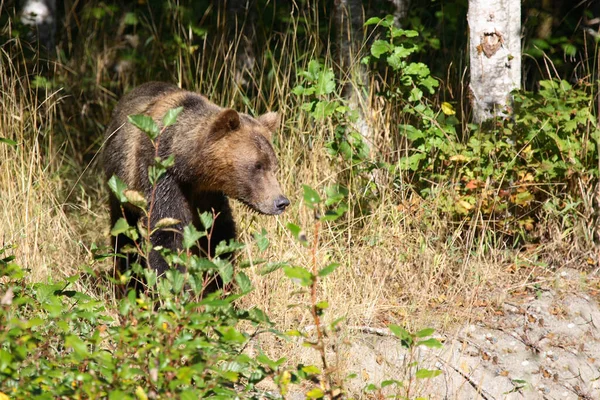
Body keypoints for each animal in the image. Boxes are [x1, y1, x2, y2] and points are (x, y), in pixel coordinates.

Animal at [102, 83, 290, 286]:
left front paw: (218, 281)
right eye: (257, 166)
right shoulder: (161, 174)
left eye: (274, 166)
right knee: (124, 233)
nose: (281, 202)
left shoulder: (208, 194)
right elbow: (167, 233)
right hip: (121, 186)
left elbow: (218, 233)